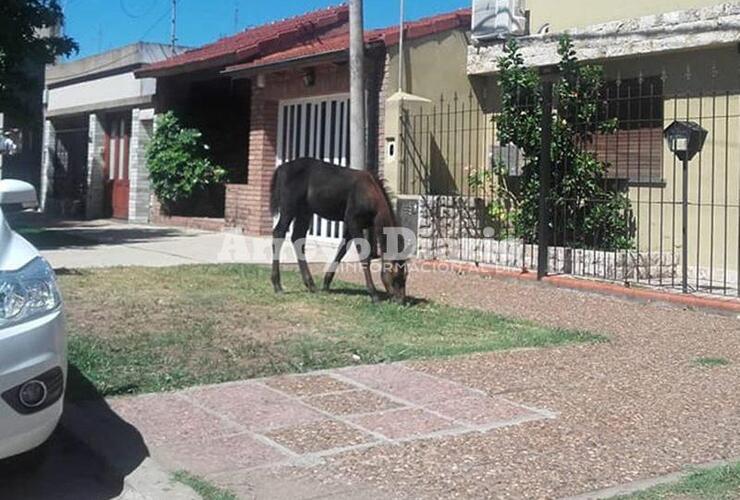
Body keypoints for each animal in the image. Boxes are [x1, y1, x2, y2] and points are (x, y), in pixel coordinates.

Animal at [268, 158, 408, 302]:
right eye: (398, 275)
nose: (400, 300)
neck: (371, 193)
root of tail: (281, 169)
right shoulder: (353, 221)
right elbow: (364, 256)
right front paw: (373, 294)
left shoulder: (353, 226)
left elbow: (341, 251)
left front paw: (326, 283)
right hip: (288, 208)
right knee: (278, 233)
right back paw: (277, 285)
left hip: (305, 211)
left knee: (297, 237)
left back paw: (311, 285)